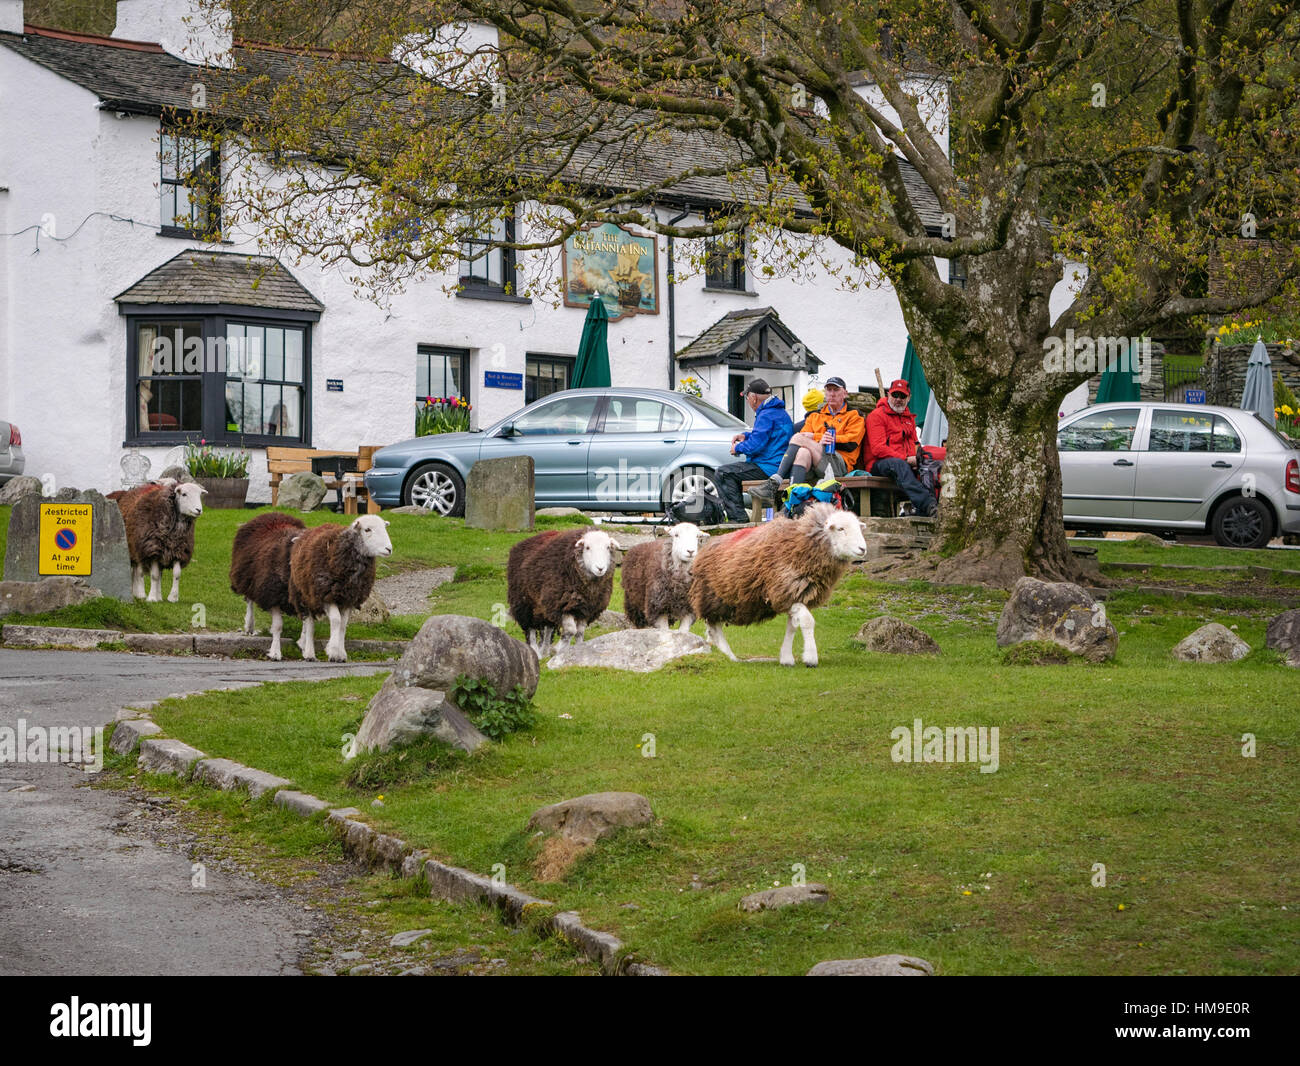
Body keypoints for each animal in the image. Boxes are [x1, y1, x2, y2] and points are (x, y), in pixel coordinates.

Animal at [228, 512, 306, 663]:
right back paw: (249, 626)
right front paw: (275, 652)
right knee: (249, 601)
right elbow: (278, 626)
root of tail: (272, 513)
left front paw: (304, 644)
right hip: (248, 578)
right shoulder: (271, 595)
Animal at [292, 514, 392, 663]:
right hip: (305, 594)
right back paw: (309, 653)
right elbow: (336, 621)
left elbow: (343, 625)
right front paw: (333, 651)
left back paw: (303, 645)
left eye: (384, 528)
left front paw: (341, 653)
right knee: (309, 624)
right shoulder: (327, 595)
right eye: (367, 530)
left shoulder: (349, 599)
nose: (388, 549)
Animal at [504, 527, 621, 657]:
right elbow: (570, 630)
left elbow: (579, 632)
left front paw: (579, 649)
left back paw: (545, 652)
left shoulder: (585, 609)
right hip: (524, 602)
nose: (600, 568)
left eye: (608, 547)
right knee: (531, 630)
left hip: (544, 607)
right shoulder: (561, 605)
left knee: (548, 629)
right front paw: (559, 649)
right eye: (587, 547)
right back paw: (536, 652)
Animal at [686, 501, 868, 665]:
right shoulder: (786, 590)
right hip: (712, 596)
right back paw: (729, 656)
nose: (863, 549)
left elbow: (792, 626)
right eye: (841, 529)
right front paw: (811, 658)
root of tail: (705, 548)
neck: (800, 546)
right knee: (714, 628)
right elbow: (807, 621)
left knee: (712, 629)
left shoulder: (795, 594)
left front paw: (786, 658)